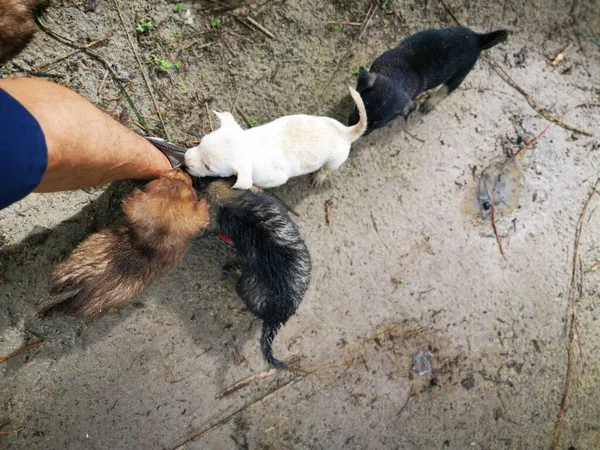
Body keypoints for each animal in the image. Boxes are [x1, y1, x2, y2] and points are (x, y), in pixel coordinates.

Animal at [185, 87, 368, 189]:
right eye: (201, 142)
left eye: (208, 167)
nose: (185, 161)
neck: (251, 145)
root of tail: (345, 132)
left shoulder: (274, 179)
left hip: (335, 160)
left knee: (327, 169)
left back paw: (319, 177)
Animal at [350, 26, 508, 134]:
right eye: (359, 109)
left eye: (378, 126)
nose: (356, 131)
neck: (397, 78)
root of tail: (478, 39)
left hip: (460, 74)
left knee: (447, 89)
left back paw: (429, 103)